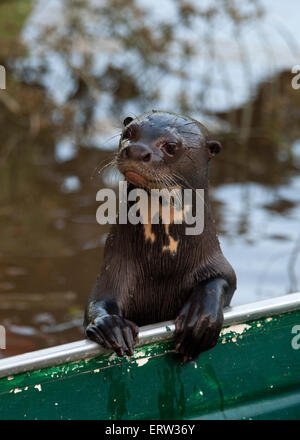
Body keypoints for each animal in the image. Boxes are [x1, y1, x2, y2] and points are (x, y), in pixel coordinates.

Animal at [84, 109, 237, 360]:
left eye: (171, 146)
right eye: (129, 133)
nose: (136, 150)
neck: (163, 262)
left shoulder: (214, 259)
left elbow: (223, 279)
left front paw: (200, 319)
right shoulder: (115, 267)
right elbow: (98, 300)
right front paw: (112, 326)